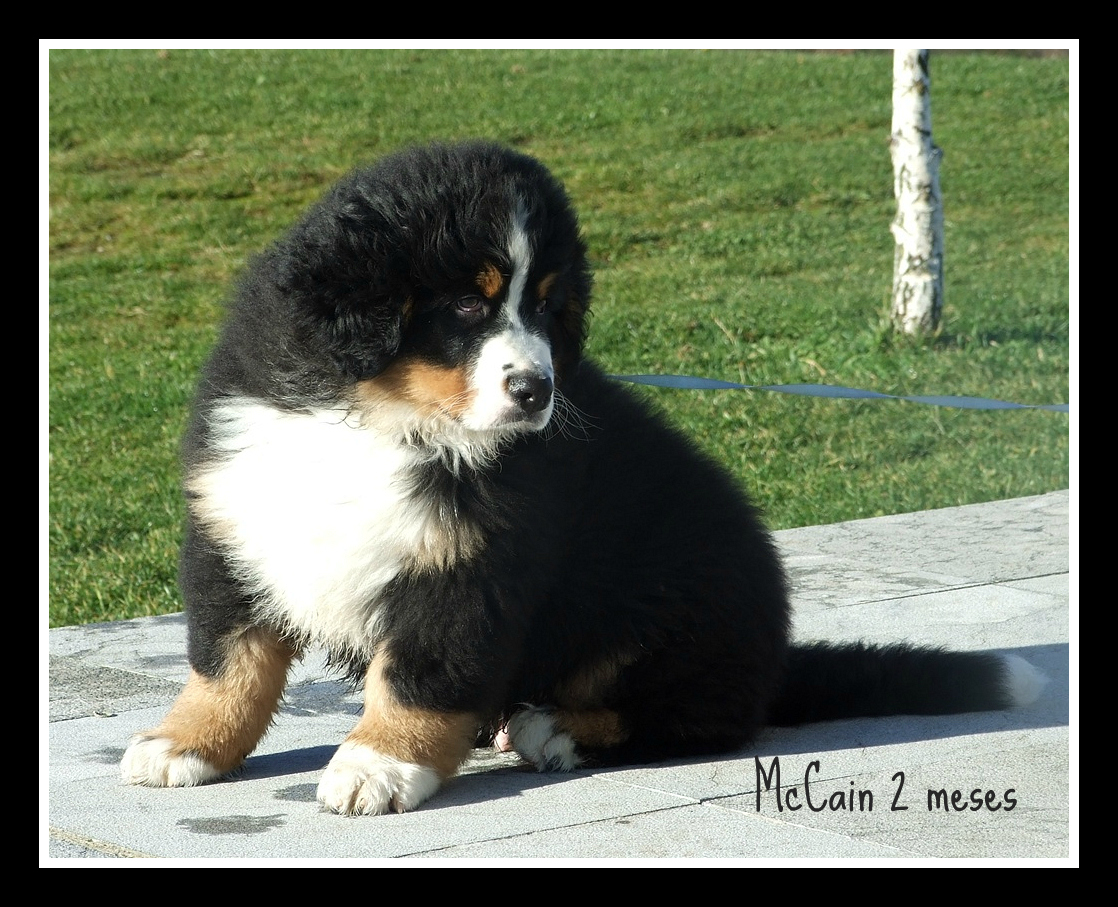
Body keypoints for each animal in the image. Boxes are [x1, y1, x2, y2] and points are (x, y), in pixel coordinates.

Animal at [117, 140, 1041, 814]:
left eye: (547, 306)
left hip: (678, 592)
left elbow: (418, 676)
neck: (377, 415)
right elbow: (227, 662)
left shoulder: (469, 566)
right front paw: (185, 742)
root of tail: (773, 657)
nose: (537, 390)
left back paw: (553, 727)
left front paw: (380, 765)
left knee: (702, 716)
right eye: (468, 303)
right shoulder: (237, 519)